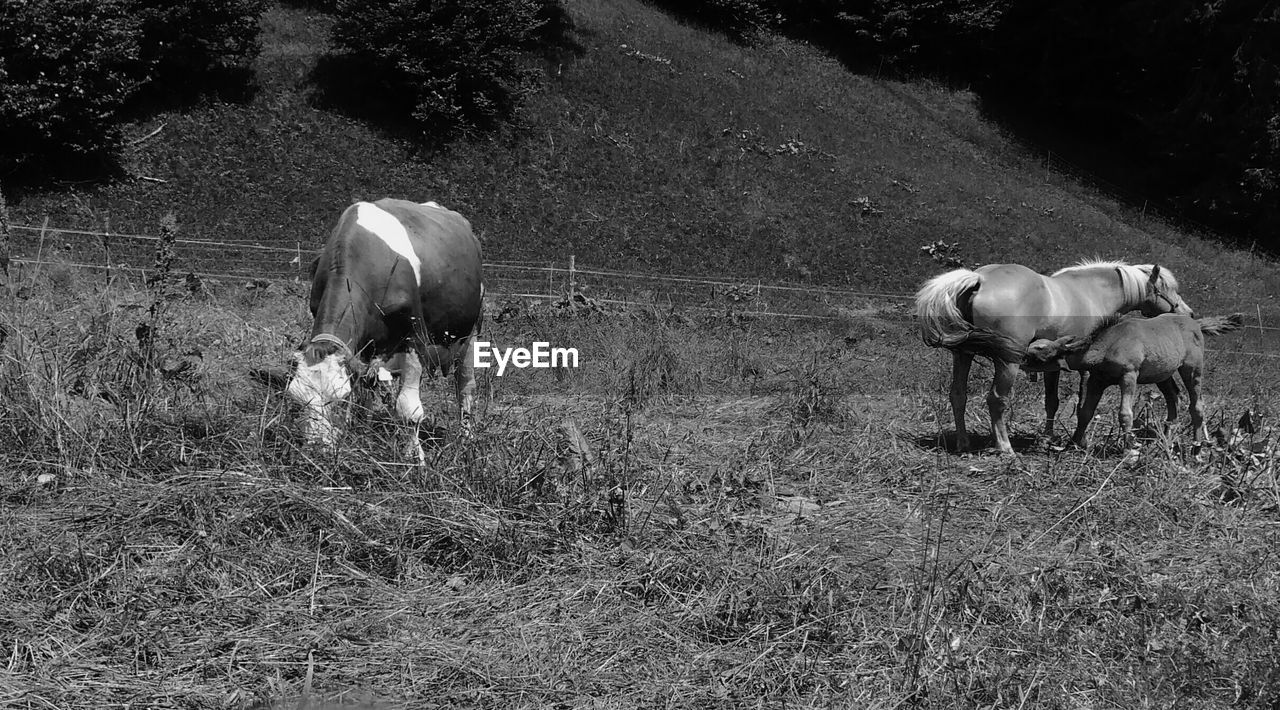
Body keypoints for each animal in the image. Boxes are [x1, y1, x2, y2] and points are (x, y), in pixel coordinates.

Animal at [286, 197, 483, 452]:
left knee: (465, 387)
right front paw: (361, 431)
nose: (316, 448)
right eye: (296, 401)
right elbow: (366, 388)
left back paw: (465, 438)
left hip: (470, 333)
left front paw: (414, 458)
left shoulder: (413, 337)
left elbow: (408, 409)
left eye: (341, 400)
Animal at [916, 260, 1192, 455]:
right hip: (1007, 362)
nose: (1187, 312)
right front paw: (1080, 440)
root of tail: (980, 279)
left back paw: (963, 442)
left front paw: (1048, 438)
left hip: (963, 355)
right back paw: (1005, 447)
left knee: (958, 395)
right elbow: (1084, 405)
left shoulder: (1053, 365)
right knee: (996, 400)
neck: (1092, 292)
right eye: (1168, 288)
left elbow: (1052, 401)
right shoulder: (1085, 366)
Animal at [1018, 312, 1239, 455]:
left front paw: (1128, 448)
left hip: (1192, 368)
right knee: (1173, 398)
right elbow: (1085, 412)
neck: (1109, 345)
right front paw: (1073, 443)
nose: (1020, 358)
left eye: (1038, 351)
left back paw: (1196, 447)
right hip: (1163, 375)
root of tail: (1197, 324)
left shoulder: (1129, 375)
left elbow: (1125, 414)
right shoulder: (1098, 380)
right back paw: (1165, 441)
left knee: (1197, 405)